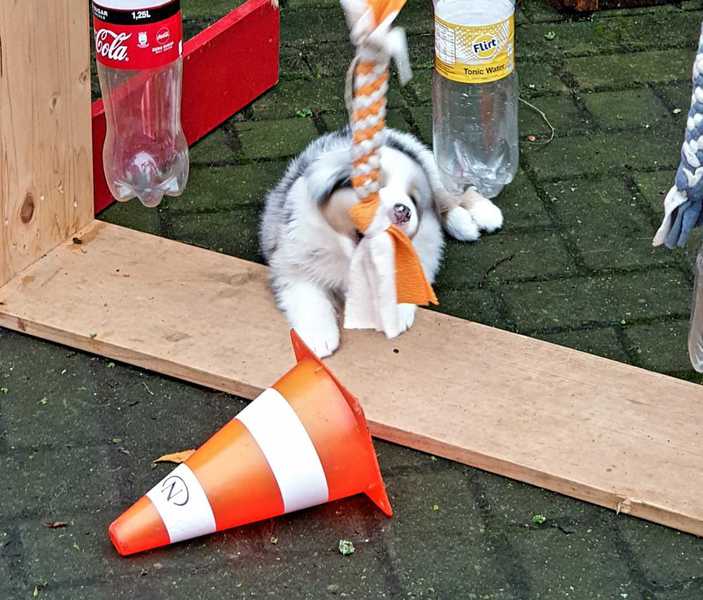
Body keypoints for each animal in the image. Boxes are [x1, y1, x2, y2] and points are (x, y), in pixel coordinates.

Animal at [259, 127, 503, 357]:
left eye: (413, 200)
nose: (403, 211)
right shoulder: (291, 260)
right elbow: (308, 296)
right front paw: (319, 339)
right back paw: (464, 223)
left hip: (435, 170)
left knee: (454, 193)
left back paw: (484, 214)